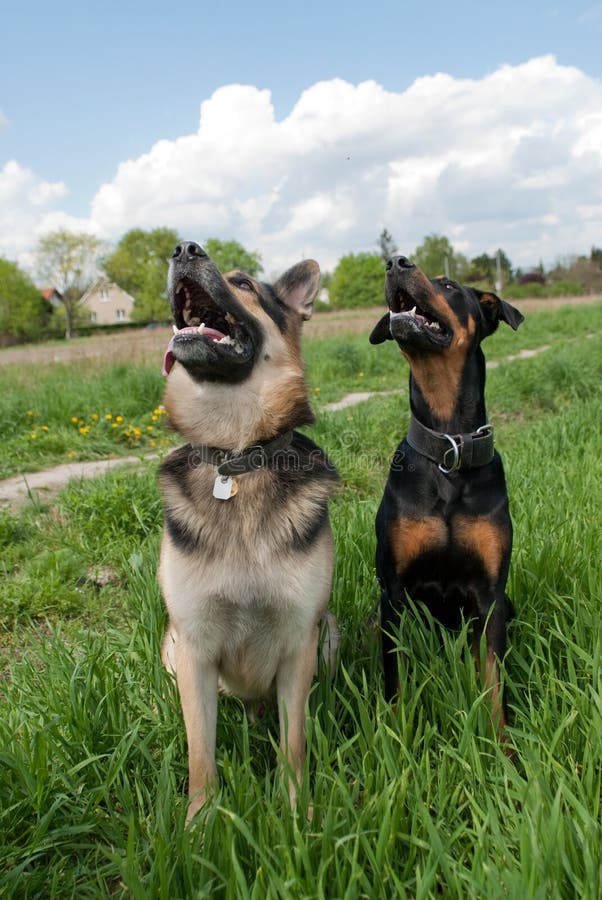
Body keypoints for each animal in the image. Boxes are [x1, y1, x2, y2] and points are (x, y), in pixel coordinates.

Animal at [158, 241, 338, 824]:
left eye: (243, 283)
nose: (183, 248)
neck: (236, 459)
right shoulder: (193, 649)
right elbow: (200, 751)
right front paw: (199, 823)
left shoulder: (300, 642)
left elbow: (294, 741)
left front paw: (296, 811)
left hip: (328, 633)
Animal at [368, 253, 524, 740]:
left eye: (451, 285)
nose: (395, 261)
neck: (448, 448)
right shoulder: (394, 593)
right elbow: (394, 674)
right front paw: (397, 735)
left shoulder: (491, 597)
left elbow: (493, 678)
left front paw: (502, 745)